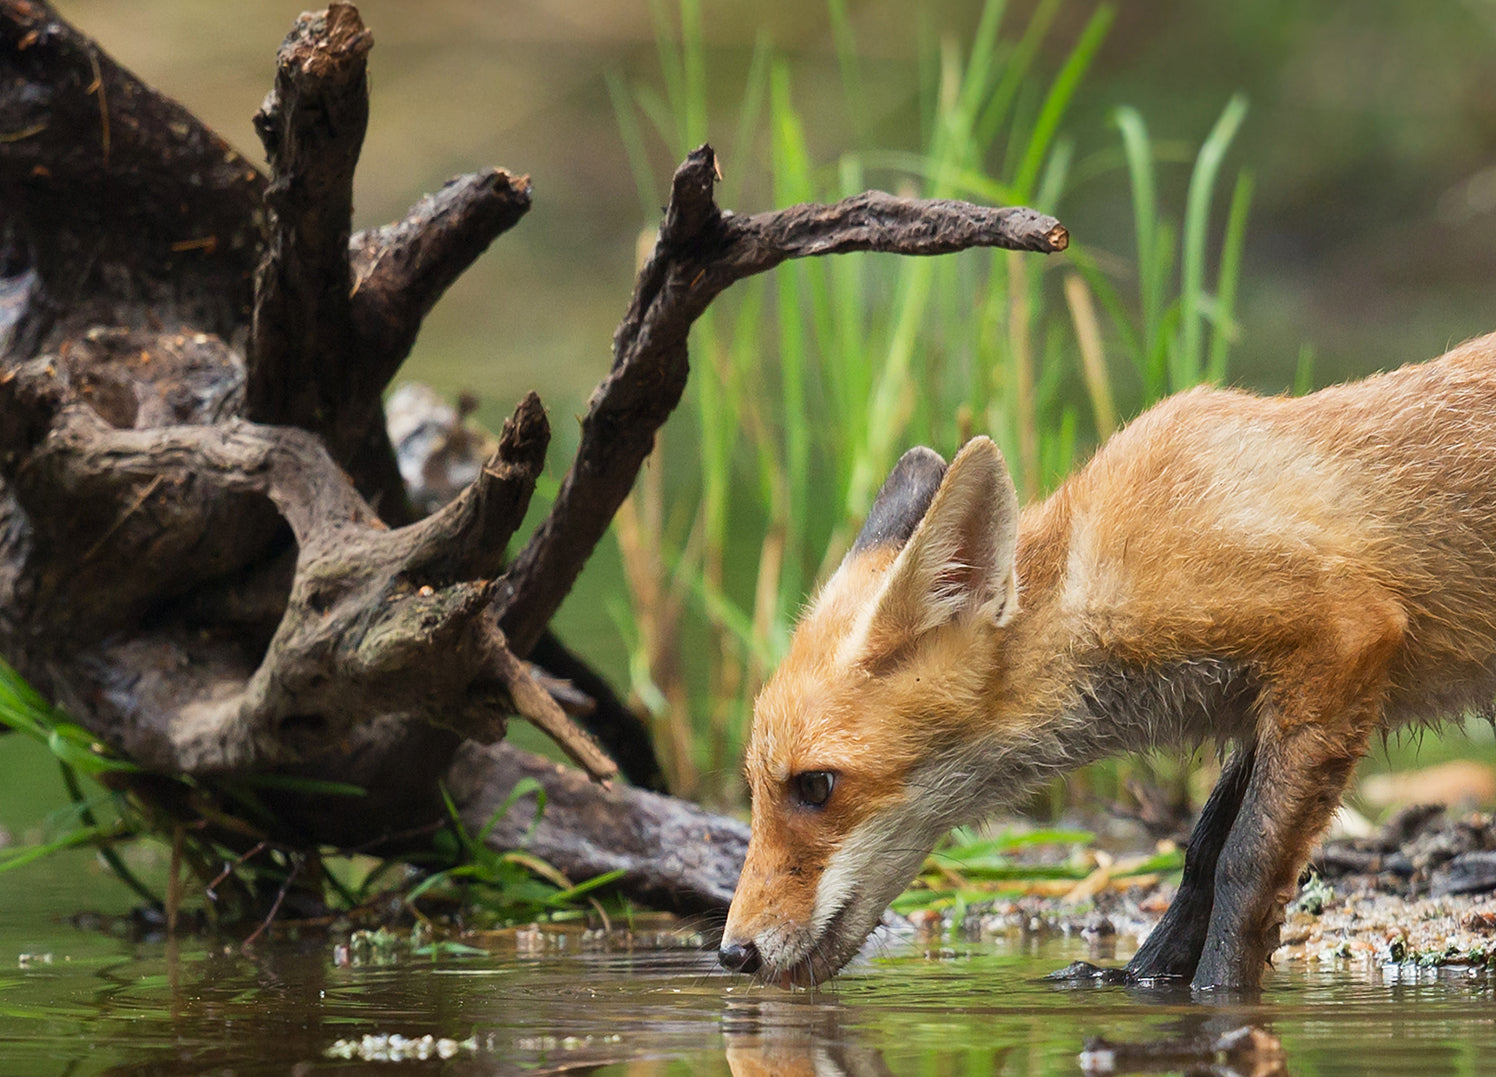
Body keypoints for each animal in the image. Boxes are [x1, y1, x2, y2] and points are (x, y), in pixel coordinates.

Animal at [717, 332, 1496, 992]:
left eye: (815, 785)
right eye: (754, 787)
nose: (732, 953)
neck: (1091, 578)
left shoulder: (1343, 636)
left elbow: (1245, 863)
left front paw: (1219, 992)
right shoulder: (1259, 700)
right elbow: (1200, 856)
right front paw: (1142, 977)